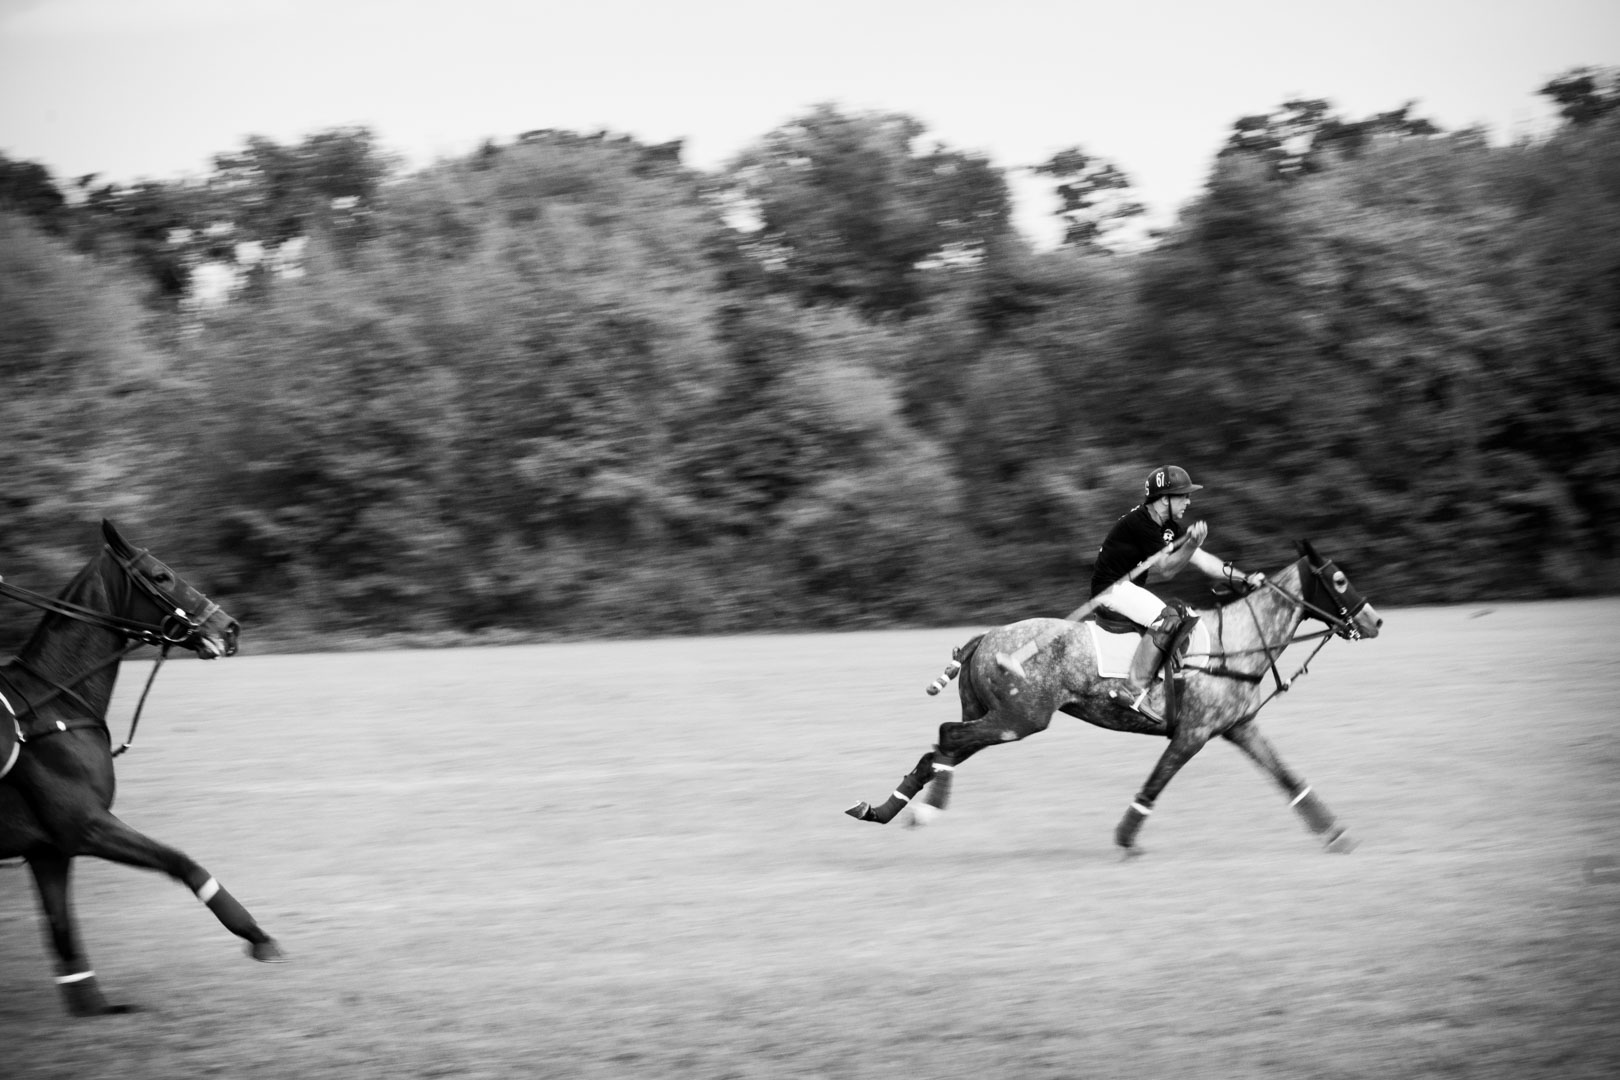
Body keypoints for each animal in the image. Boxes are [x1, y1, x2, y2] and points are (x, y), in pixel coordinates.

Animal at [0, 521, 283, 1016]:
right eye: (161, 575)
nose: (230, 628)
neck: (54, 704)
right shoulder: (84, 825)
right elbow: (181, 861)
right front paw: (257, 935)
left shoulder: (48, 850)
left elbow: (62, 930)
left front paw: (94, 1007)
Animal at [848, 540, 1380, 854]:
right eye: (1338, 580)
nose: (1374, 621)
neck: (1239, 640)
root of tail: (983, 638)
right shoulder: (1193, 733)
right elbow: (1154, 785)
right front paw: (1126, 839)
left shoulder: (1237, 727)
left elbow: (1288, 777)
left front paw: (1336, 834)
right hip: (1020, 718)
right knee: (946, 736)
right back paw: (921, 809)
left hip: (997, 714)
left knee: (943, 746)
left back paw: (886, 810)